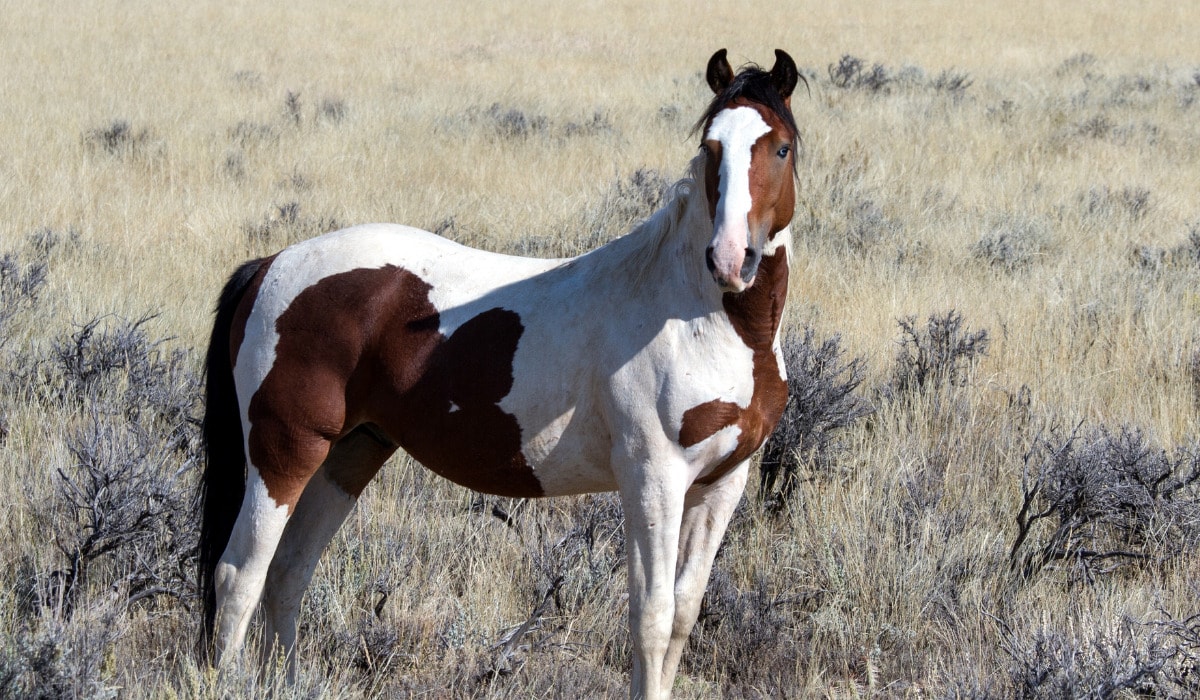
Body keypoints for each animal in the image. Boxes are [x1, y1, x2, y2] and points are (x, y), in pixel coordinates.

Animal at [199, 48, 801, 700]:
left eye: (780, 148)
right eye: (711, 148)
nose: (730, 260)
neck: (695, 314)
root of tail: (271, 265)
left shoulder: (721, 483)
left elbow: (684, 613)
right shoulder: (653, 478)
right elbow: (652, 616)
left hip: (352, 452)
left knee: (288, 572)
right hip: (284, 453)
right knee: (239, 574)